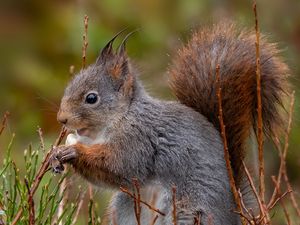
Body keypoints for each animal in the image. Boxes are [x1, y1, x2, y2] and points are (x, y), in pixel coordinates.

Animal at [50, 21, 290, 225]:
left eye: (91, 98)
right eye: (70, 85)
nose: (62, 118)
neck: (121, 118)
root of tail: (234, 214)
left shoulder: (139, 138)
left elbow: (119, 165)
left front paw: (74, 151)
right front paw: (56, 153)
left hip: (187, 211)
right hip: (126, 206)